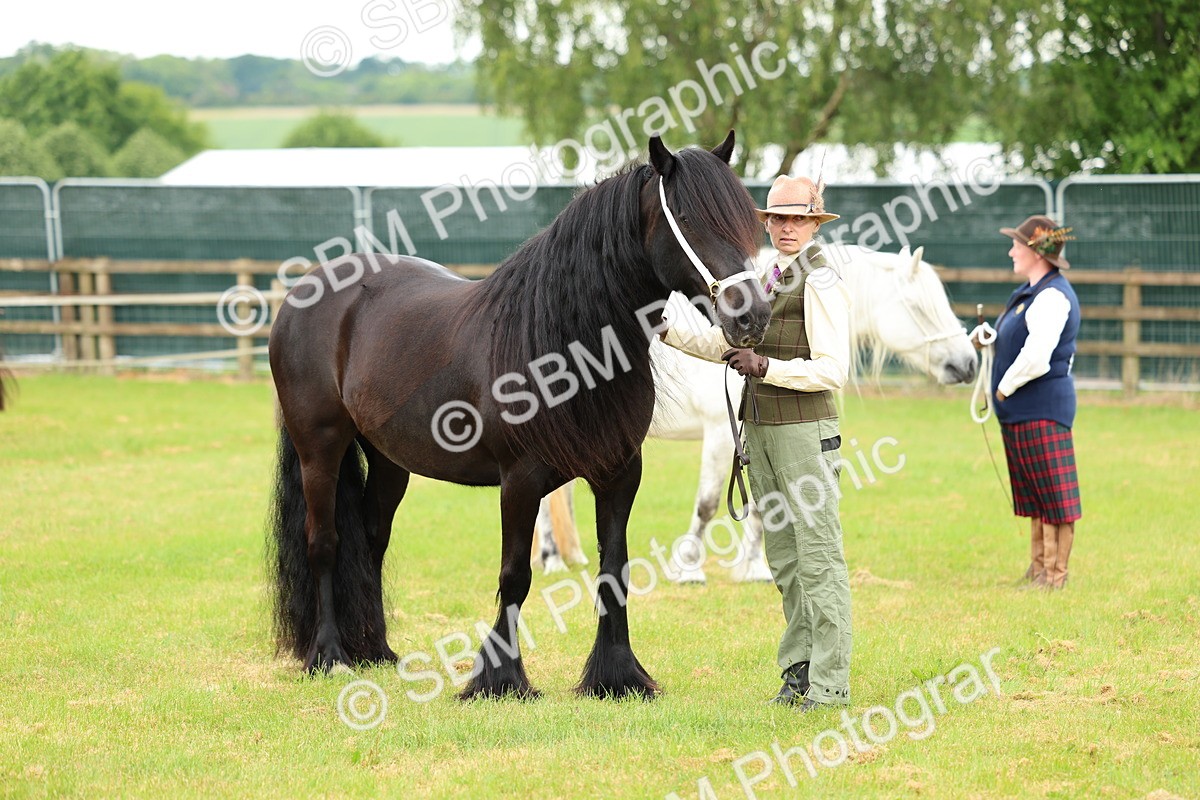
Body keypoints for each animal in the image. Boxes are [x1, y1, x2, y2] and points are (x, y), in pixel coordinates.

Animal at [267, 132, 771, 700]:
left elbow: (613, 570)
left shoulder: (620, 475)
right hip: (320, 448)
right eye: (685, 217)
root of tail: (307, 290)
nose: (753, 317)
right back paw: (331, 656)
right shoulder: (520, 480)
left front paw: (617, 677)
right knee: (325, 542)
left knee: (373, 539)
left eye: (743, 218)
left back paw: (376, 650)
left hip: (389, 459)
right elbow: (515, 575)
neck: (565, 341)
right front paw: (499, 679)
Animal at [533, 243, 979, 583]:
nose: (969, 363)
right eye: (918, 307)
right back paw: (552, 559)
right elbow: (708, 504)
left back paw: (568, 557)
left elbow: (765, 506)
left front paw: (752, 568)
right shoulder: (719, 432)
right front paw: (689, 569)